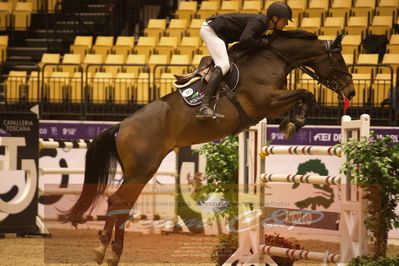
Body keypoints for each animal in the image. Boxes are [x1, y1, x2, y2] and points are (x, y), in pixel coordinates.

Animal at [63, 30, 356, 264]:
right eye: (339, 60)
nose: (351, 92)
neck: (270, 59)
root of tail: (121, 126)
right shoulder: (267, 102)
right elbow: (306, 94)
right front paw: (294, 123)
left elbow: (303, 96)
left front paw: (291, 121)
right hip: (141, 170)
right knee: (118, 201)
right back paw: (104, 249)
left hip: (141, 171)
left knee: (122, 203)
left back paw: (110, 252)